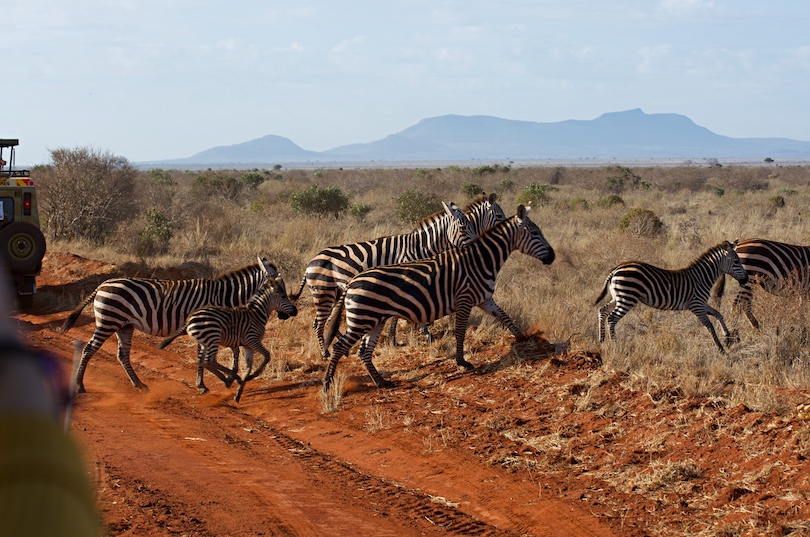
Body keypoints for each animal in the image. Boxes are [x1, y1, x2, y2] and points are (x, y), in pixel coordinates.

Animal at [60, 255, 274, 390]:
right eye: (276, 280)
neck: (223, 296)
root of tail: (102, 284)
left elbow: (232, 350)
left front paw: (226, 377)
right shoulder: (208, 327)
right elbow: (204, 356)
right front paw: (207, 384)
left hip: (124, 325)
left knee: (122, 354)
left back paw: (139, 385)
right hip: (108, 321)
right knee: (90, 348)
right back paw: (80, 384)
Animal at [158, 274, 296, 400]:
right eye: (283, 296)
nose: (295, 311)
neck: (256, 314)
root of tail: (189, 320)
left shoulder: (248, 345)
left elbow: (248, 367)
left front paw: (239, 392)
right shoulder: (252, 339)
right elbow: (267, 356)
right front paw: (251, 376)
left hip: (205, 342)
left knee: (202, 361)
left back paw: (228, 379)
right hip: (213, 338)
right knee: (209, 361)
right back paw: (229, 379)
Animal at [288, 195, 496, 358]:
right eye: (463, 227)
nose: (476, 249)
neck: (419, 247)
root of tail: (311, 261)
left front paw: (414, 332)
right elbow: (401, 314)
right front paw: (404, 336)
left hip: (334, 292)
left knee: (329, 319)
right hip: (323, 292)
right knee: (318, 323)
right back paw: (325, 353)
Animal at [322, 203, 556, 392]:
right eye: (534, 232)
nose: (553, 257)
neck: (479, 260)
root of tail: (352, 281)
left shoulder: (485, 299)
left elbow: (506, 318)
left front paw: (525, 339)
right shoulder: (465, 300)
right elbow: (460, 332)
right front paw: (462, 362)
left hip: (374, 320)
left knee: (363, 351)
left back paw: (382, 382)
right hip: (362, 319)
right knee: (340, 347)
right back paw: (327, 384)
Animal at [592, 240, 748, 352]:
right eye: (736, 262)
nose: (746, 280)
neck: (702, 278)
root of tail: (615, 270)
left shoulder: (702, 303)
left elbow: (718, 314)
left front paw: (728, 337)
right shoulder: (696, 305)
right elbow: (709, 325)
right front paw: (721, 348)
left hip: (618, 297)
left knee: (602, 310)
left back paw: (601, 340)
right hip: (627, 298)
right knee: (612, 318)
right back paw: (616, 346)